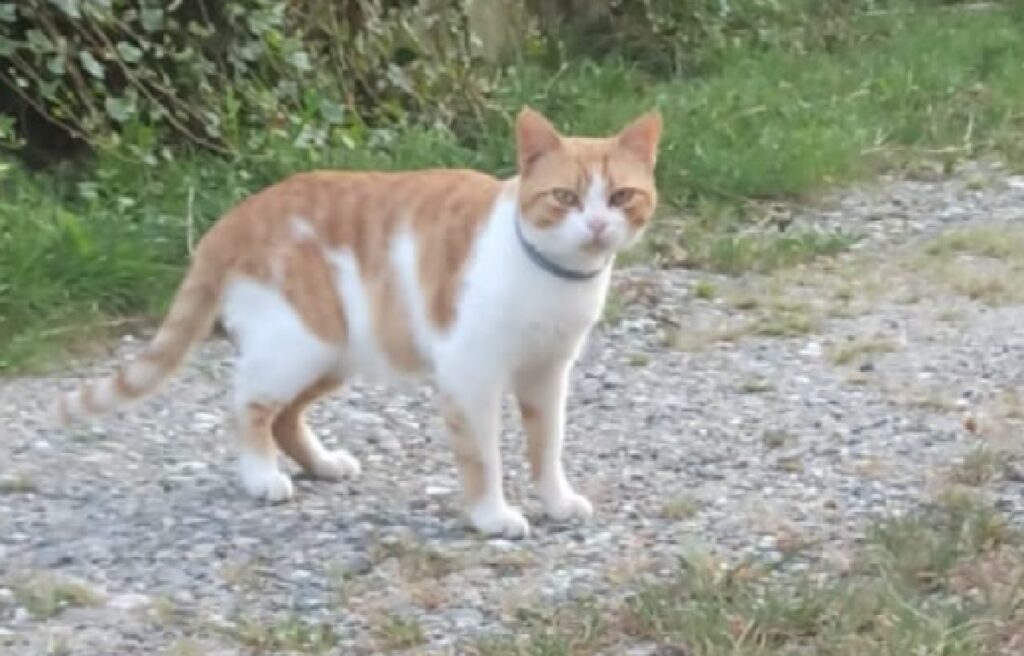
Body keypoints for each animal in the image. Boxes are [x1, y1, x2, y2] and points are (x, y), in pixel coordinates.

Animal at [54, 107, 663, 536]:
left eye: (620, 197)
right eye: (564, 198)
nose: (596, 226)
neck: (553, 278)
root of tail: (234, 216)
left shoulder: (547, 374)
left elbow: (547, 445)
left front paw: (556, 501)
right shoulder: (471, 376)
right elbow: (482, 457)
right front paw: (491, 516)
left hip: (334, 353)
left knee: (284, 416)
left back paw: (322, 464)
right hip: (301, 342)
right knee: (247, 405)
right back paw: (261, 476)